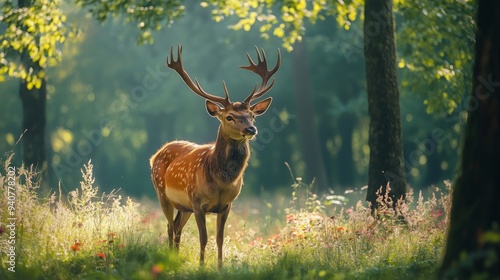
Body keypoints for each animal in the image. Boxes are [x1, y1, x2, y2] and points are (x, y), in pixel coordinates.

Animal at [150, 44, 280, 268]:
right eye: (229, 117)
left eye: (252, 115)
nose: (251, 129)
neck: (220, 182)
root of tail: (155, 154)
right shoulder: (197, 202)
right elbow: (204, 238)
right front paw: (202, 266)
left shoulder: (226, 205)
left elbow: (220, 238)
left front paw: (220, 267)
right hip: (162, 194)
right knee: (169, 227)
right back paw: (170, 259)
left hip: (184, 207)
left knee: (176, 227)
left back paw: (176, 258)